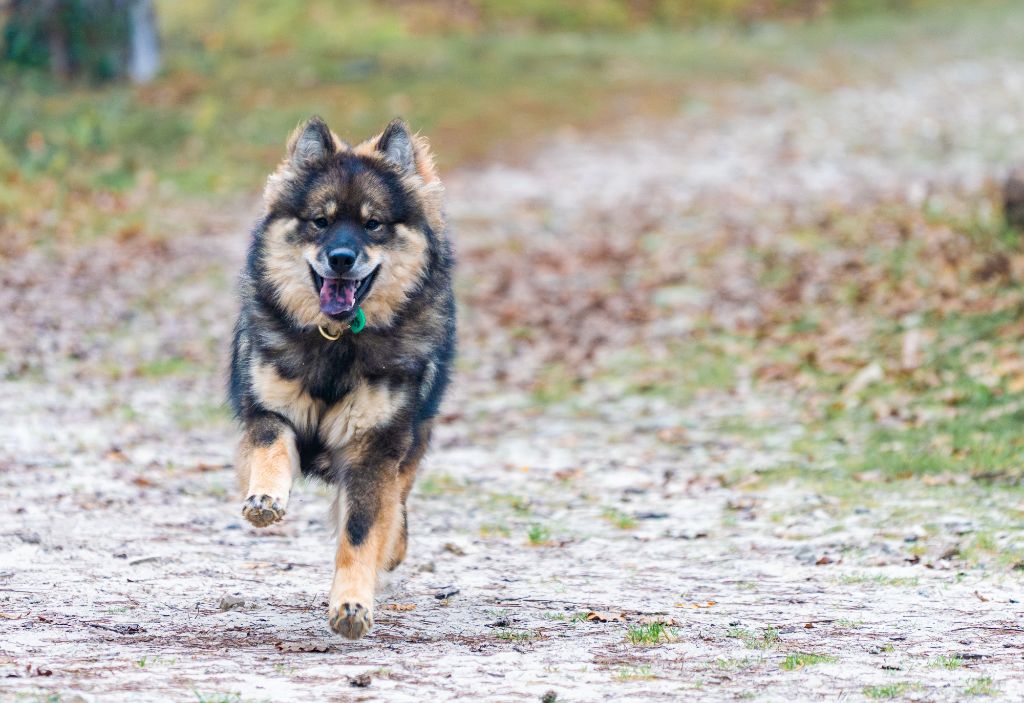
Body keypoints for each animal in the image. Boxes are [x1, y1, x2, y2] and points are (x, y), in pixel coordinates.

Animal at [232, 118, 456, 642]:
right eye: (321, 221)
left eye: (373, 224)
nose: (339, 258)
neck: (336, 342)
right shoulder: (268, 412)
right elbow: (270, 452)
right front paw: (265, 498)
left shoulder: (374, 449)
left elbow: (360, 531)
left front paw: (352, 604)